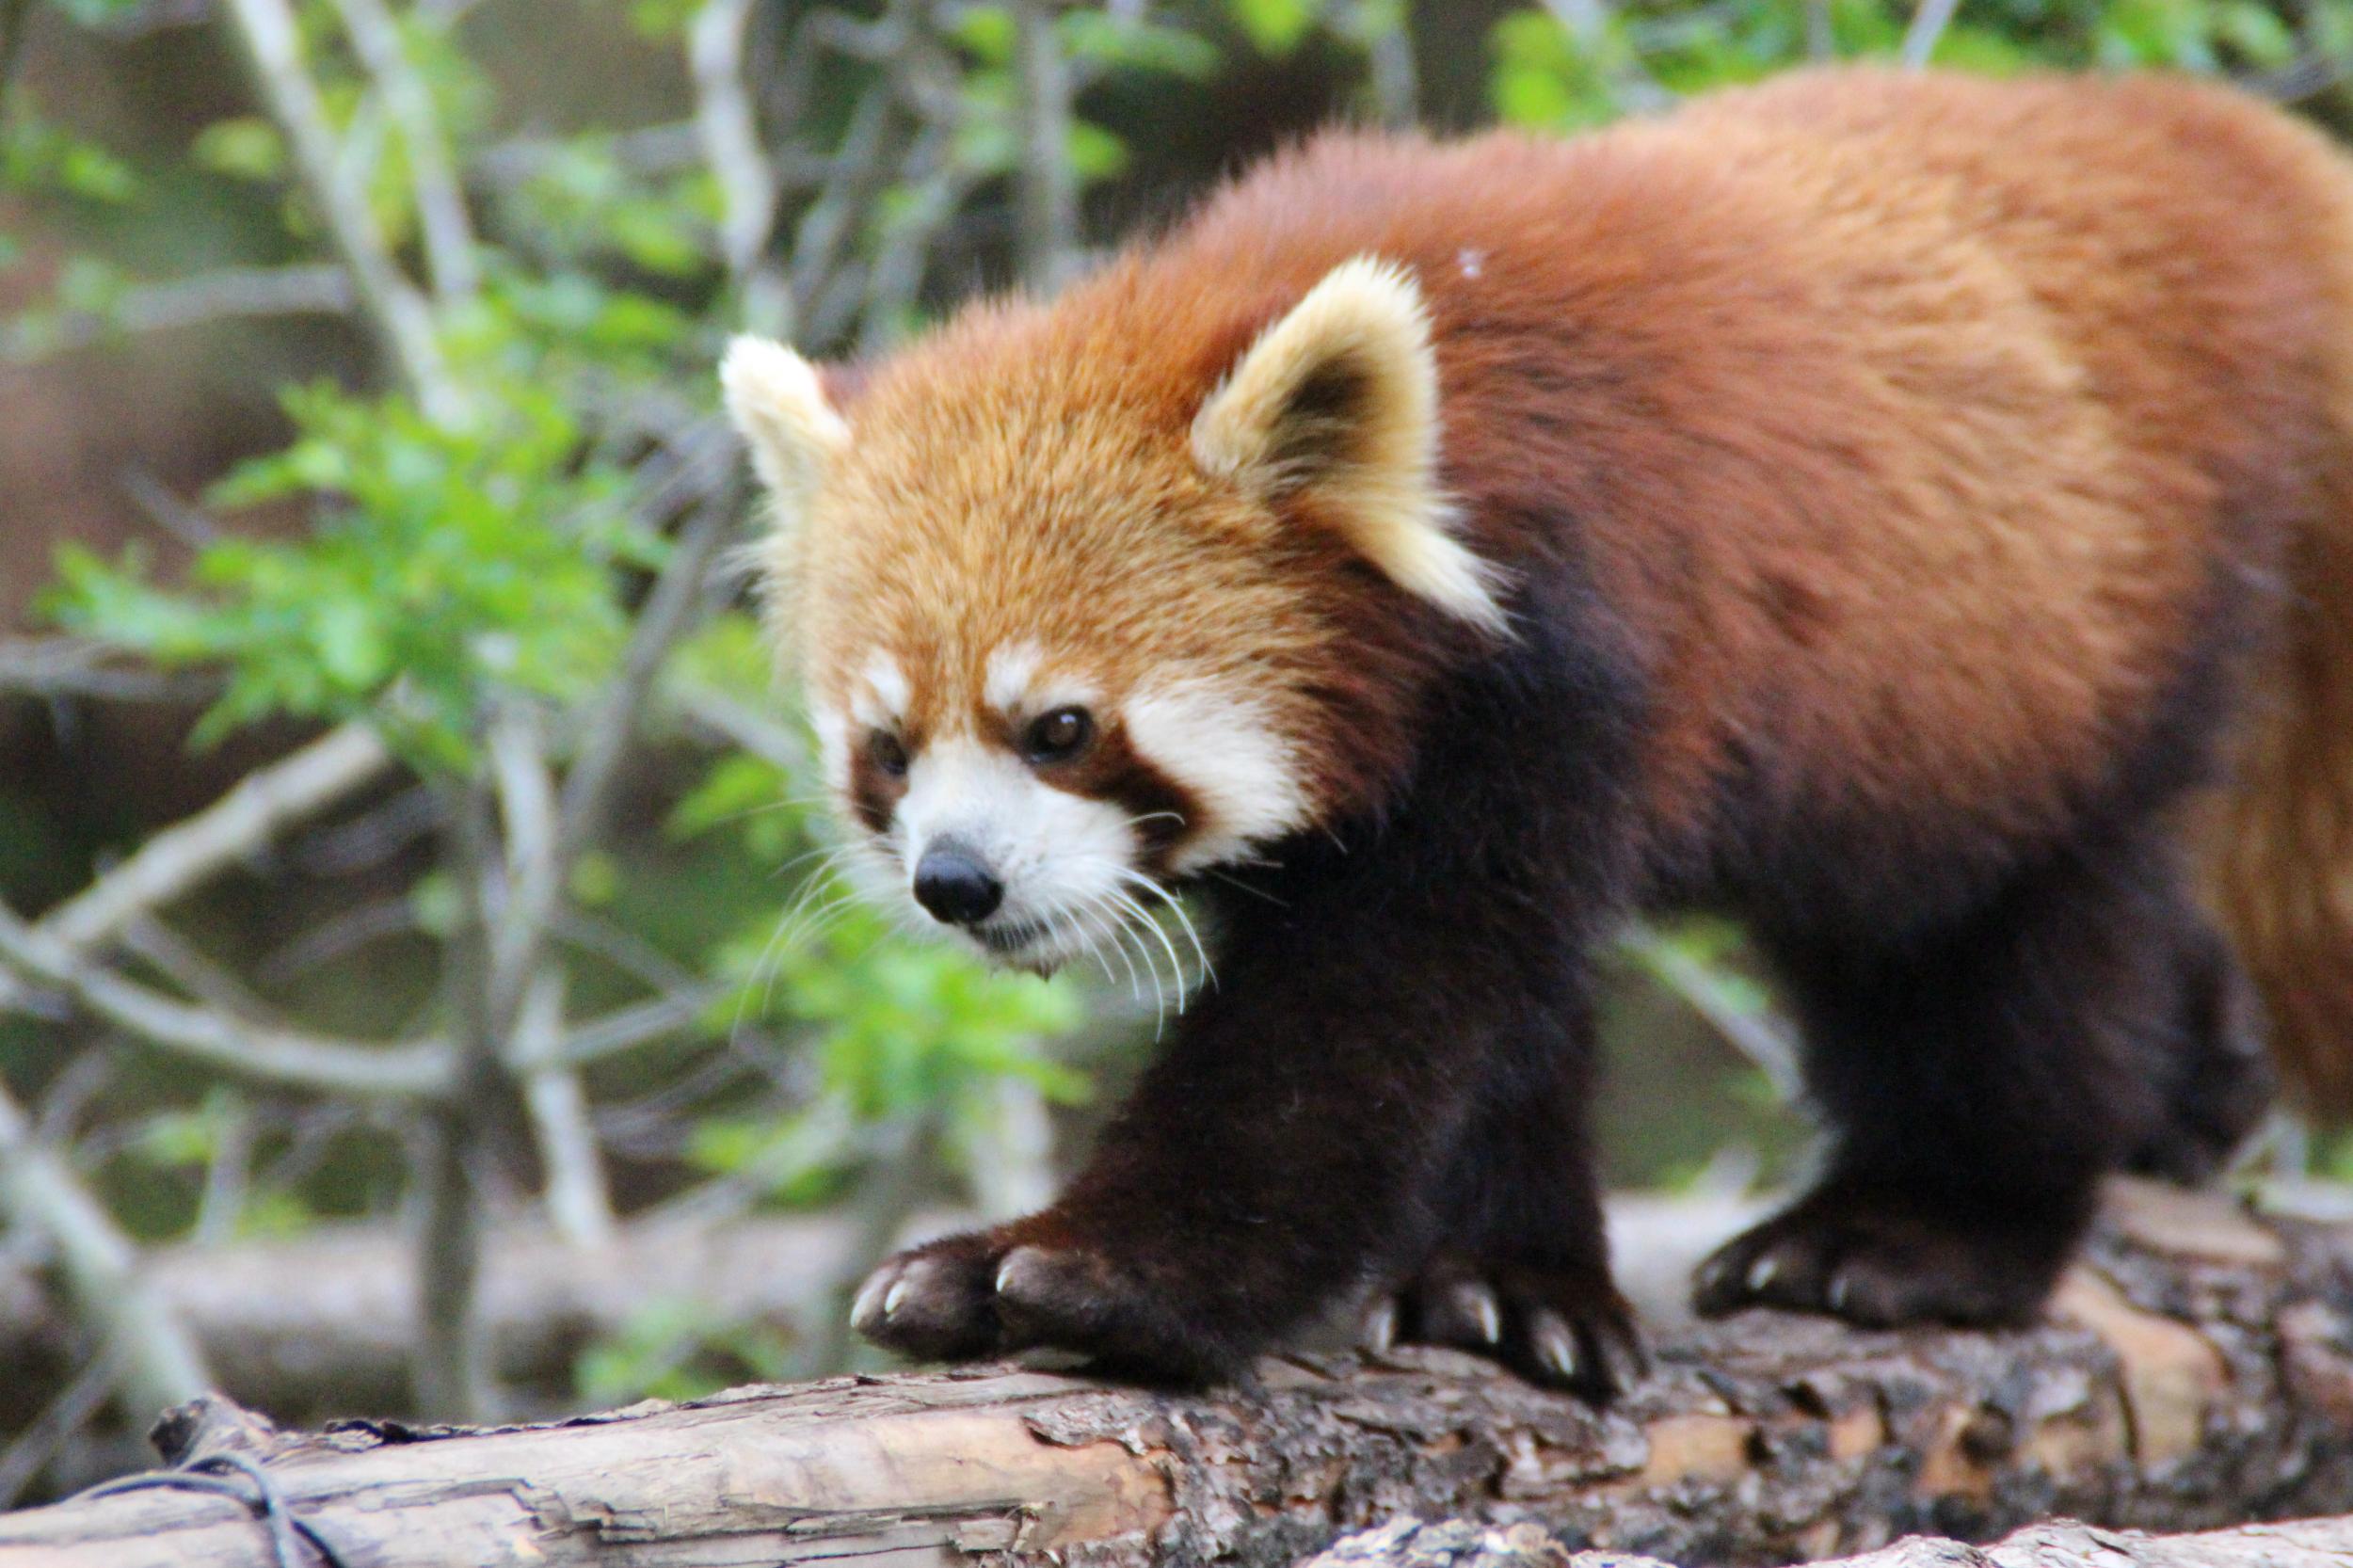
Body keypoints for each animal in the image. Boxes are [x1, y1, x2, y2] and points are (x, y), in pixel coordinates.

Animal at [711, 67, 2353, 1393]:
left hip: (2049, 644)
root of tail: (2211, 144)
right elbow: (1497, 1034)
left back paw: (1917, 1231)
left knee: (1999, 942)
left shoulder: (1573, 661)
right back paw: (2197, 1085)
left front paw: (1092, 1270)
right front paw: (1509, 1290)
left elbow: (1369, 1021)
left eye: (1058, 726)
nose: (957, 881)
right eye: (888, 749)